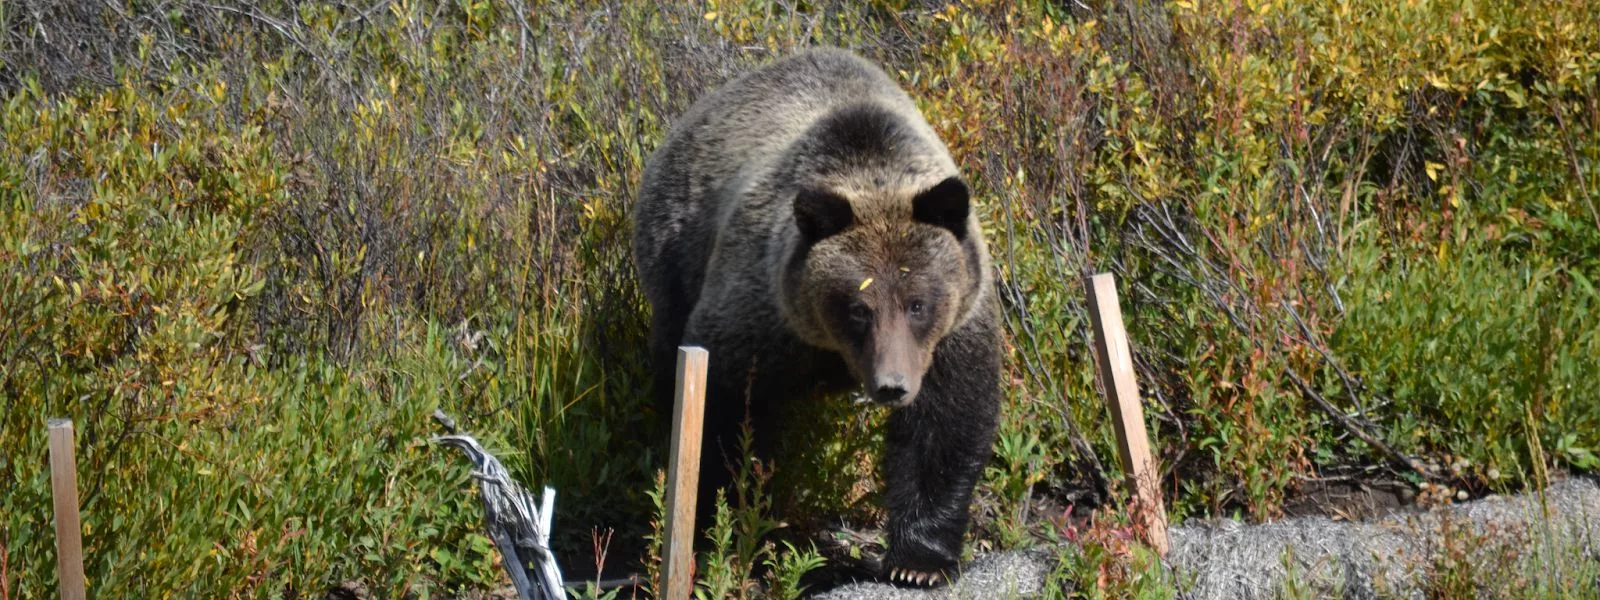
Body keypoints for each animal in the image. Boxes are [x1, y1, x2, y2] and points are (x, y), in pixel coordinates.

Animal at [632, 47, 1001, 587]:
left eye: (917, 302)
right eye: (857, 307)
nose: (892, 386)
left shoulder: (953, 331)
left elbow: (947, 422)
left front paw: (919, 562)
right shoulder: (764, 314)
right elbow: (724, 409)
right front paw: (724, 528)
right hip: (675, 248)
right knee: (668, 350)